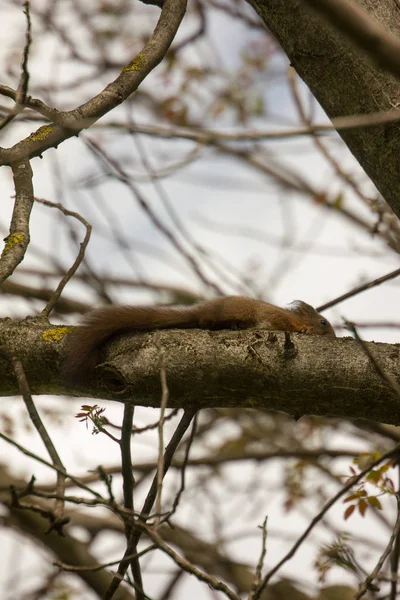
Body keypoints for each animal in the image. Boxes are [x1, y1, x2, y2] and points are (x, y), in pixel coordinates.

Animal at [64, 296, 336, 384]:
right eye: (324, 322)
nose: (333, 336)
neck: (293, 320)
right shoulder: (275, 318)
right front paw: (306, 331)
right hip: (233, 311)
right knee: (206, 321)